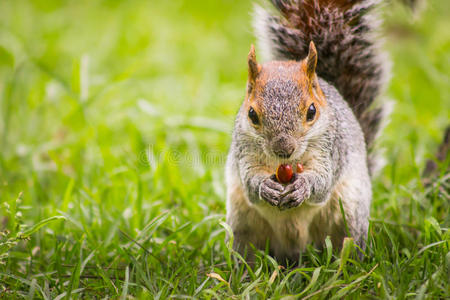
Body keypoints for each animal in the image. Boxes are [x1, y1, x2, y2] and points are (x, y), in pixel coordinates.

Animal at [225, 0, 390, 262]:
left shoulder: (331, 148)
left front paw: (304, 186)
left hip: (349, 216)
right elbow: (249, 180)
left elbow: (323, 180)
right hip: (243, 226)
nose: (284, 149)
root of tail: (295, 251)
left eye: (312, 111)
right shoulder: (244, 150)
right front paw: (265, 186)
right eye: (252, 114)